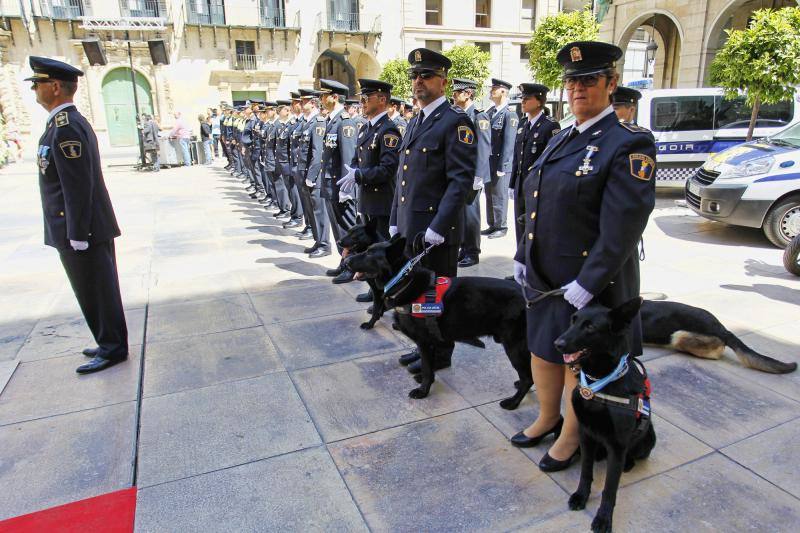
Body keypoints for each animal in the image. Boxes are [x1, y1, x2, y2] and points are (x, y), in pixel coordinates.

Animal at [342, 235, 532, 406]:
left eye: (369, 254)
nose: (345, 261)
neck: (403, 280)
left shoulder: (424, 342)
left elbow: (427, 368)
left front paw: (423, 391)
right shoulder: (432, 342)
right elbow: (430, 367)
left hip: (514, 346)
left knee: (528, 378)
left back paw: (514, 402)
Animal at [552, 296, 660, 532]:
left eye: (590, 327)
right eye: (573, 320)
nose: (557, 343)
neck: (599, 383)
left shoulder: (617, 446)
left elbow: (610, 488)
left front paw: (603, 518)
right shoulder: (585, 433)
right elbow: (585, 471)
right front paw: (581, 496)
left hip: (648, 439)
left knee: (633, 455)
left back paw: (628, 464)